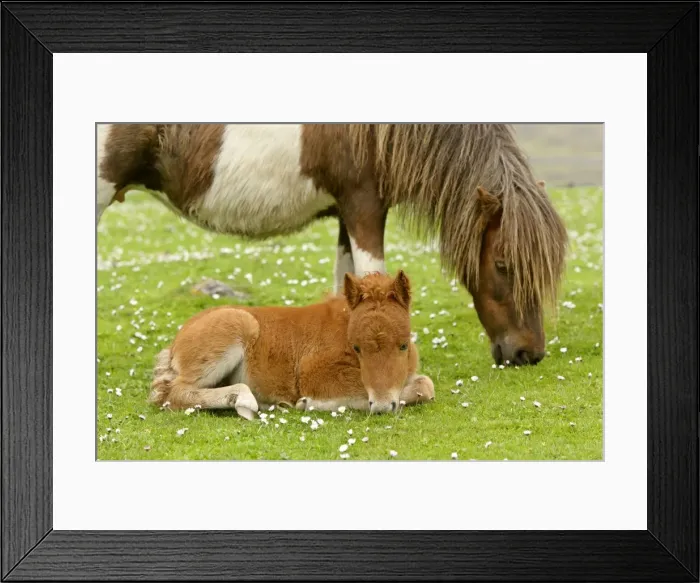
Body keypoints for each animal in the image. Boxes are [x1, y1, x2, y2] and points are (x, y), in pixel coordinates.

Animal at [97, 123, 568, 366]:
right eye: (503, 264)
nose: (529, 354)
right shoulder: (364, 205)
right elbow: (373, 278)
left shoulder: (347, 212)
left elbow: (349, 288)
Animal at [148, 270, 435, 419]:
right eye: (357, 348)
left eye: (403, 346)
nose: (384, 407)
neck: (343, 326)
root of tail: (177, 340)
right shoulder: (314, 374)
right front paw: (309, 404)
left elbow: (425, 384)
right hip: (235, 330)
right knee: (174, 392)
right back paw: (244, 401)